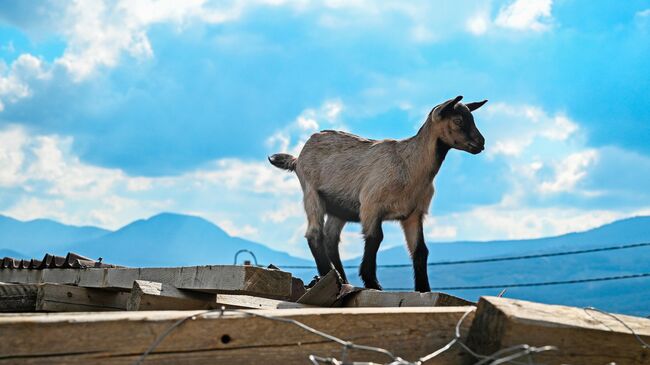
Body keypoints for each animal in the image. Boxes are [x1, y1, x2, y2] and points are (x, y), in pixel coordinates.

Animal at [266, 95, 484, 292]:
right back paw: (332, 276)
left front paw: (424, 289)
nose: (481, 143)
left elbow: (420, 250)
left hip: (339, 208)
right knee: (314, 234)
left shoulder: (414, 214)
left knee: (330, 238)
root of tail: (297, 159)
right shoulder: (371, 205)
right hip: (312, 193)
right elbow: (375, 238)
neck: (409, 165)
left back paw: (342, 279)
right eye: (458, 120)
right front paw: (372, 283)